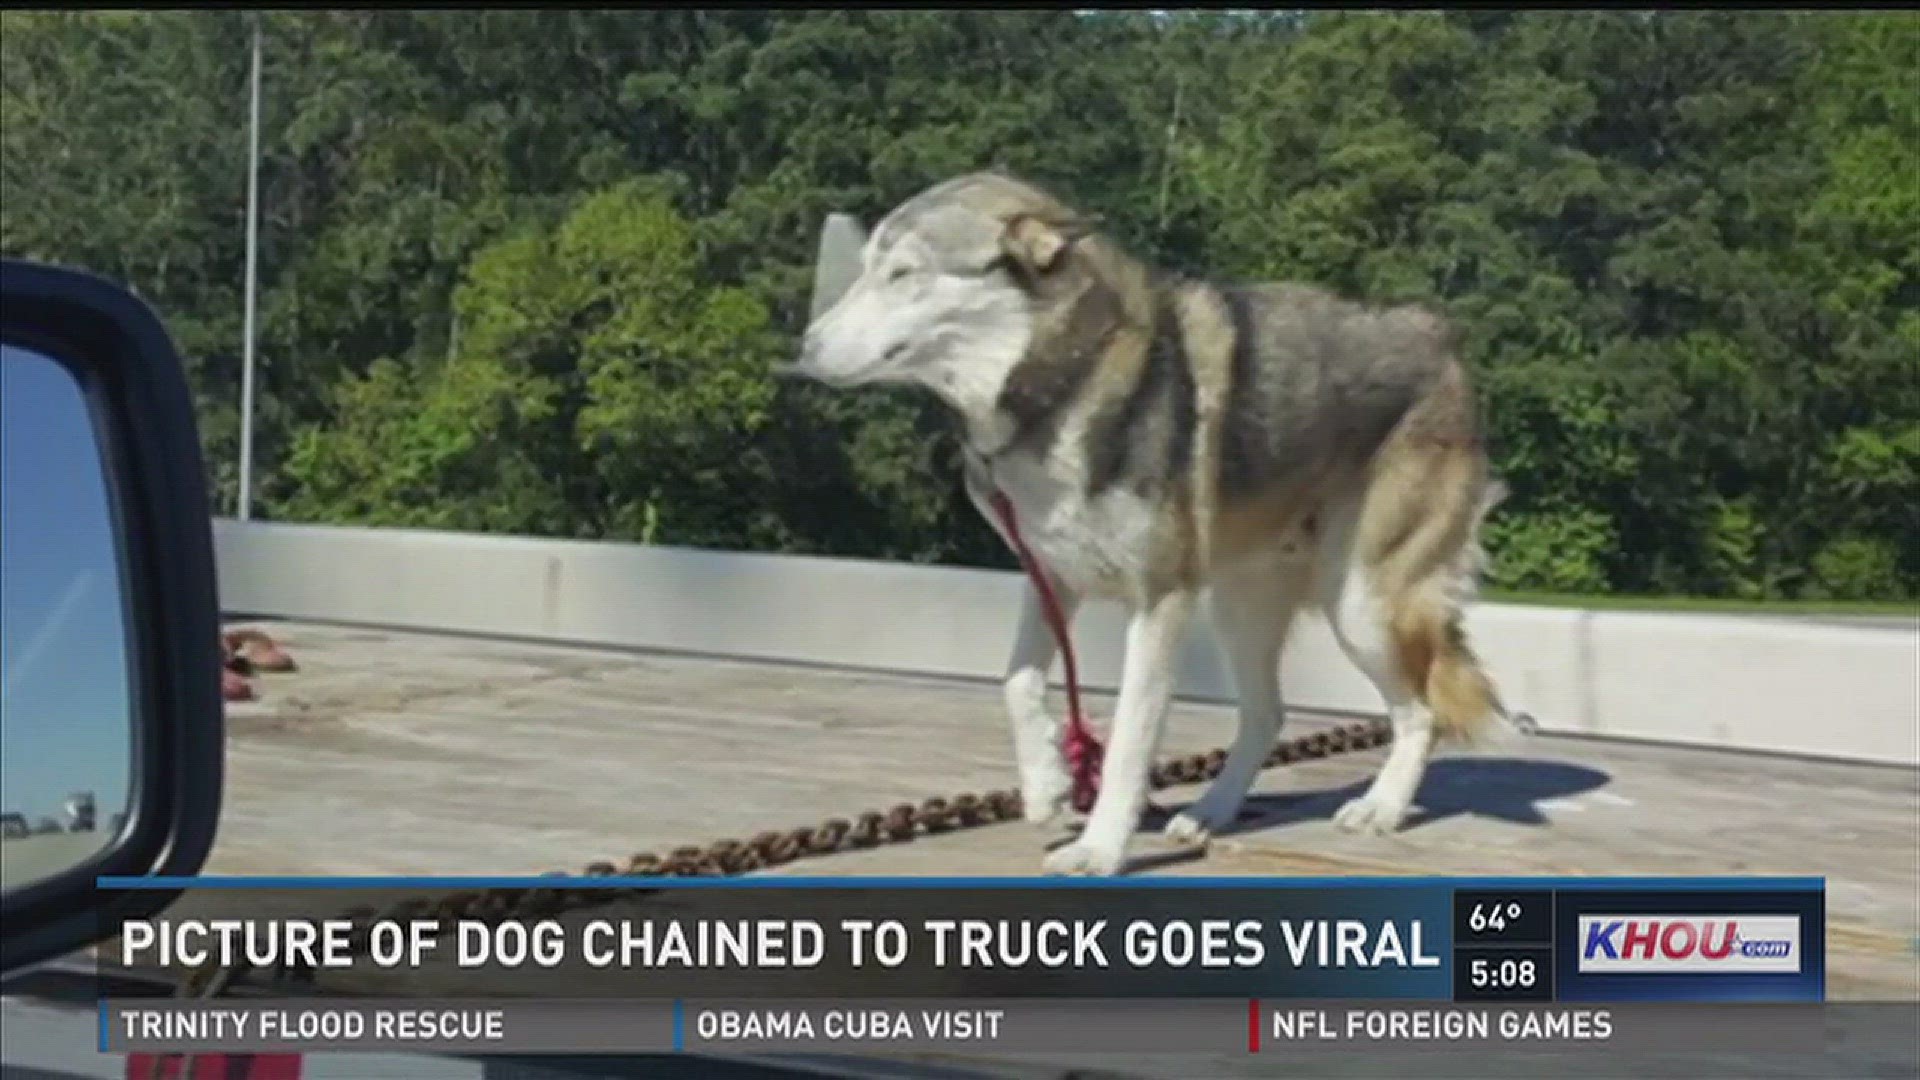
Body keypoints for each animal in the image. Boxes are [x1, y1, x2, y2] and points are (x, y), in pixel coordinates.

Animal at [787, 170, 1505, 876]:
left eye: (902, 273)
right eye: (866, 266)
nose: (802, 350)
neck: (1066, 379)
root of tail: (1435, 333)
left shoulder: (1159, 600)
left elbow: (1131, 737)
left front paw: (1100, 849)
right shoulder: (1050, 579)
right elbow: (1017, 682)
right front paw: (1047, 783)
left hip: (1359, 604)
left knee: (1420, 713)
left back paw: (1381, 807)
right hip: (1240, 608)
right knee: (1268, 713)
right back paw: (1212, 810)